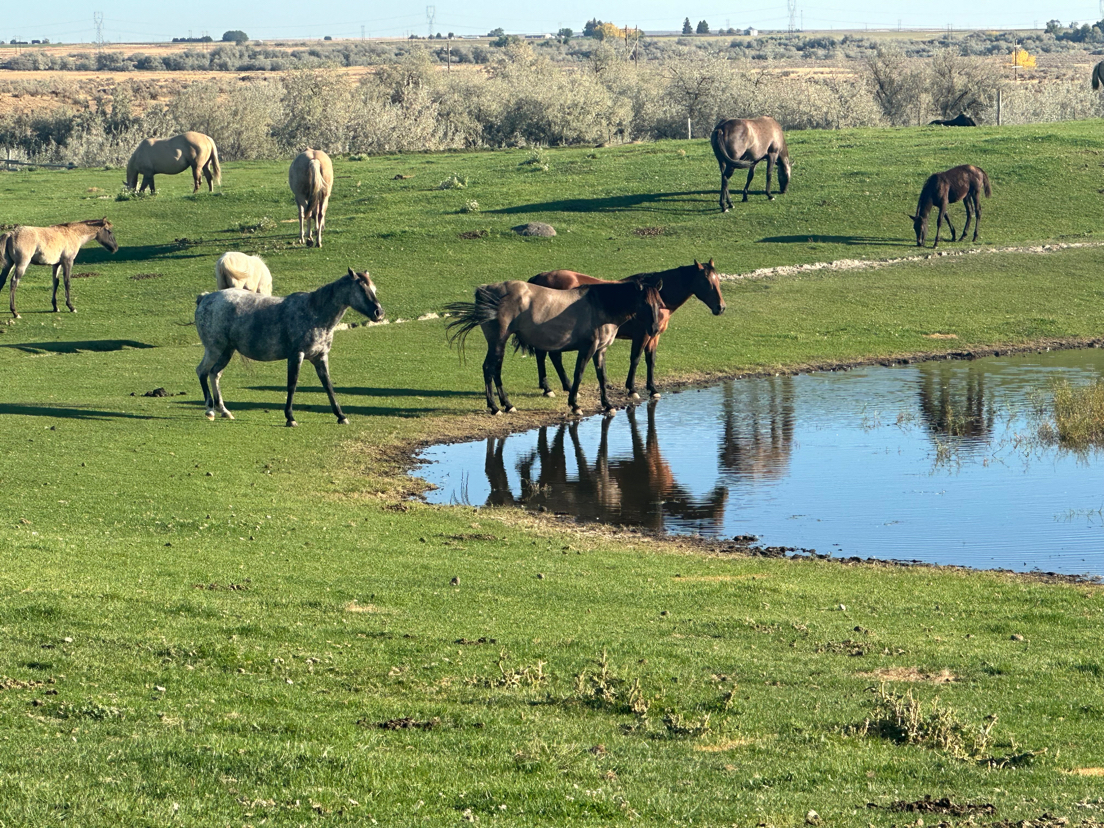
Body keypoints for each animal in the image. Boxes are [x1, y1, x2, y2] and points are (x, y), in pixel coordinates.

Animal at [195, 268, 384, 427]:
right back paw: (210, 410)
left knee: (215, 374)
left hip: (226, 351)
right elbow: (292, 385)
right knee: (202, 371)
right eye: (361, 289)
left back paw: (224, 410)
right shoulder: (296, 355)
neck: (315, 313)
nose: (379, 313)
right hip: (214, 349)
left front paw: (341, 416)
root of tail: (205, 298)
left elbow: (328, 386)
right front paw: (290, 418)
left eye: (374, 289)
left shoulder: (320, 357)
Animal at [445, 278, 663, 416]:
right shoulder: (588, 348)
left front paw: (607, 405)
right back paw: (496, 407)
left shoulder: (600, 350)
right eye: (645, 303)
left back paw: (505, 405)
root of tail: (486, 289)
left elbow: (602, 377)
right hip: (498, 340)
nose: (654, 329)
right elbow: (578, 374)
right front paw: (575, 405)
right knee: (489, 368)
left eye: (659, 303)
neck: (600, 305)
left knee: (495, 369)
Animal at [528, 259, 725, 400]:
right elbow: (635, 359)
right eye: (706, 282)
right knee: (549, 355)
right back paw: (552, 388)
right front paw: (632, 389)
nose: (721, 307)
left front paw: (652, 388)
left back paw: (560, 387)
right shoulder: (642, 335)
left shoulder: (653, 337)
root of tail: (539, 278)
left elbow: (650, 360)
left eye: (718, 281)